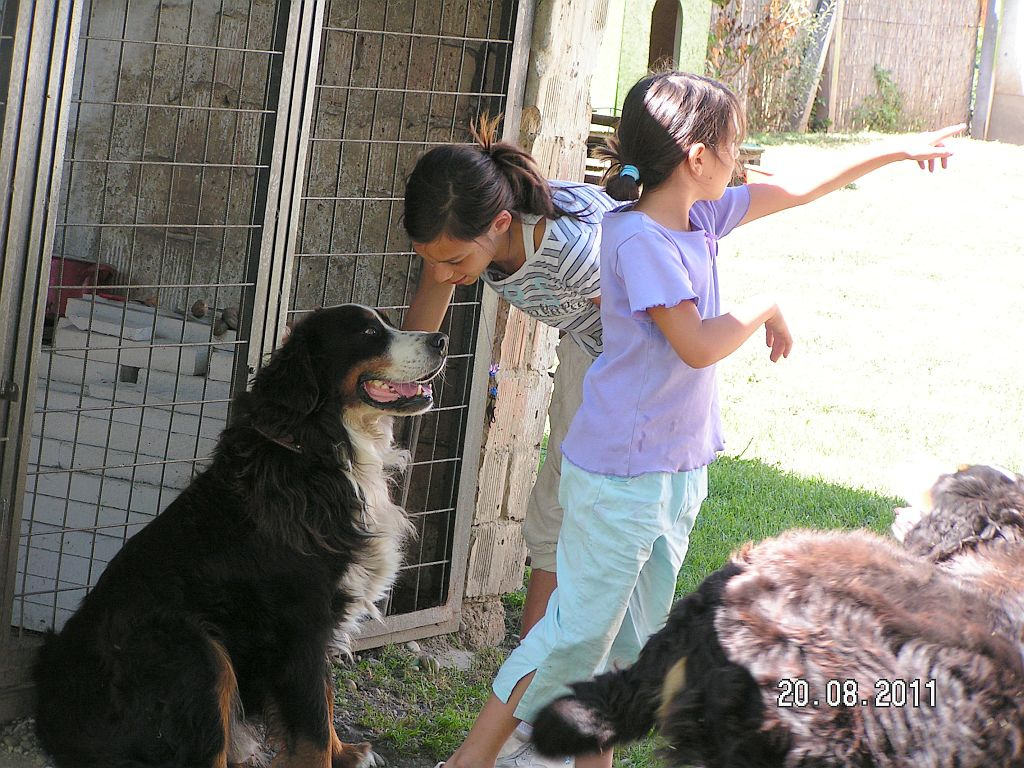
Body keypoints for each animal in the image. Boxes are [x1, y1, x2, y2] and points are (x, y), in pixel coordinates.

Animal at [34, 303, 448, 768]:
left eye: (389, 323)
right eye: (368, 333)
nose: (441, 340)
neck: (319, 451)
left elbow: (323, 701)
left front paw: (344, 752)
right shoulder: (301, 623)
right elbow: (312, 724)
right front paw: (329, 755)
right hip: (198, 652)